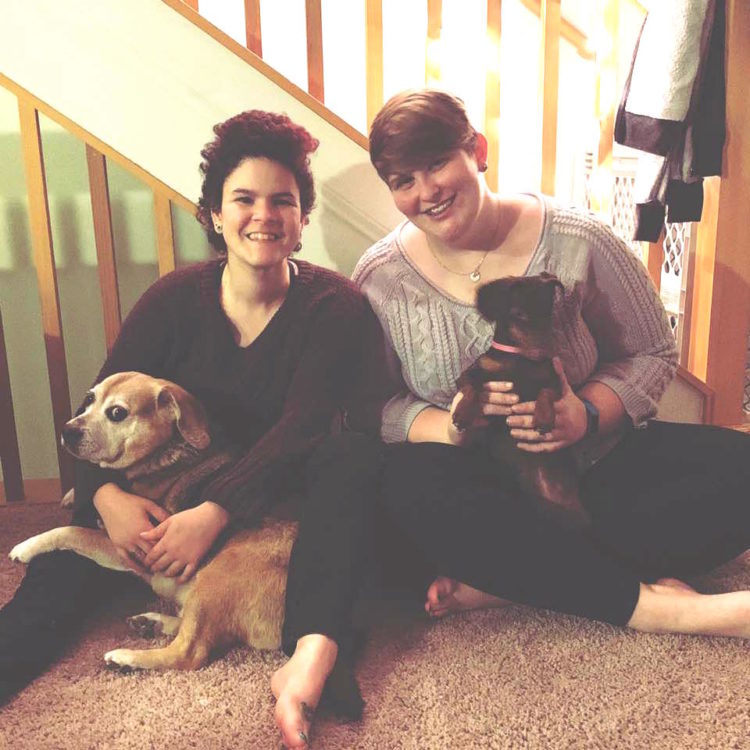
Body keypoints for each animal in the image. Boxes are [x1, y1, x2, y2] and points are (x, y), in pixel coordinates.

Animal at [10, 374, 362, 720]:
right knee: (190, 626)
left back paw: (129, 657)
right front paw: (72, 494)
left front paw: (26, 545)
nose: (67, 430)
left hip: (218, 575)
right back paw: (152, 623)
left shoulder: (132, 548)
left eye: (117, 413)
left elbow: (71, 531)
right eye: (89, 400)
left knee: (190, 651)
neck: (165, 455)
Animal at [452, 274, 588, 528]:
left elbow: (545, 392)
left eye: (548, 313)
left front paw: (543, 418)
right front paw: (463, 414)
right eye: (520, 315)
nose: (547, 353)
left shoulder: (553, 379)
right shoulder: (470, 373)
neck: (518, 356)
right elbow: (471, 388)